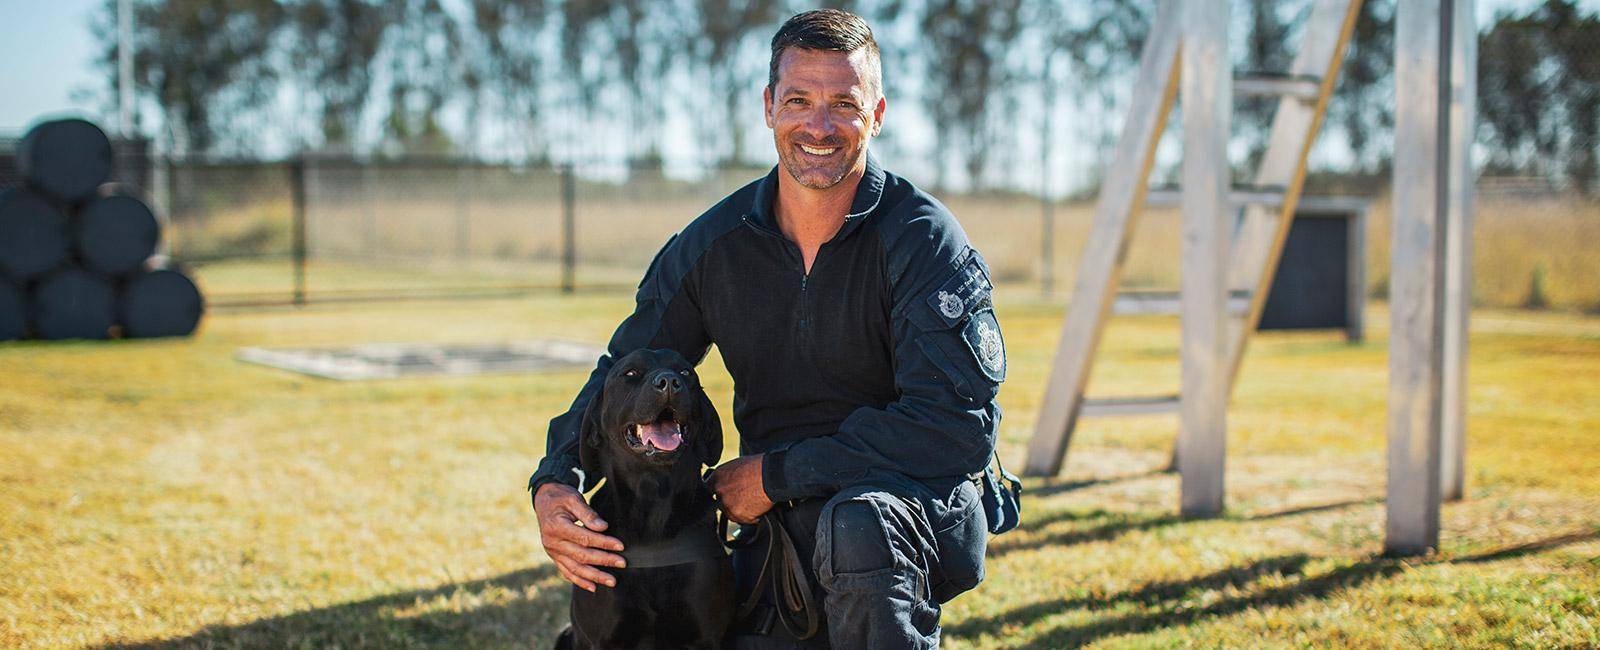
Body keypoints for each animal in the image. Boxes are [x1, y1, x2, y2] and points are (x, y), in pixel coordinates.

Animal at [560, 350, 732, 650]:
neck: (654, 494)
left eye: (686, 373)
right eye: (630, 373)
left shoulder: (706, 636)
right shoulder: (599, 638)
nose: (669, 382)